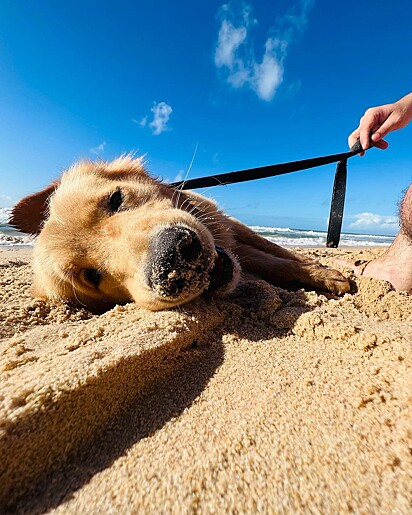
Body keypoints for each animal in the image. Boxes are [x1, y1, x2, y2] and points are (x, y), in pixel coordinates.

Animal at [9, 155, 350, 312]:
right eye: (91, 276)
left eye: (115, 199)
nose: (173, 260)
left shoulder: (226, 223)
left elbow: (278, 254)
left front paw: (324, 272)